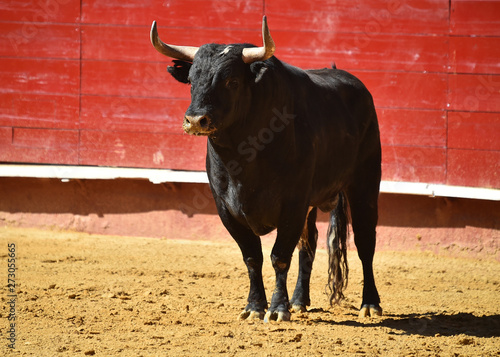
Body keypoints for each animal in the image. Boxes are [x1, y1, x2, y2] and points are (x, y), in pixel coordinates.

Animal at [150, 16, 380, 322]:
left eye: (232, 81)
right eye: (191, 80)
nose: (196, 120)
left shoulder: (293, 204)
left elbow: (279, 256)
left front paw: (278, 308)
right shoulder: (226, 209)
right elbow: (252, 257)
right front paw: (255, 306)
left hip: (364, 183)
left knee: (365, 242)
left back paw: (370, 304)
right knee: (309, 245)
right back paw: (299, 301)